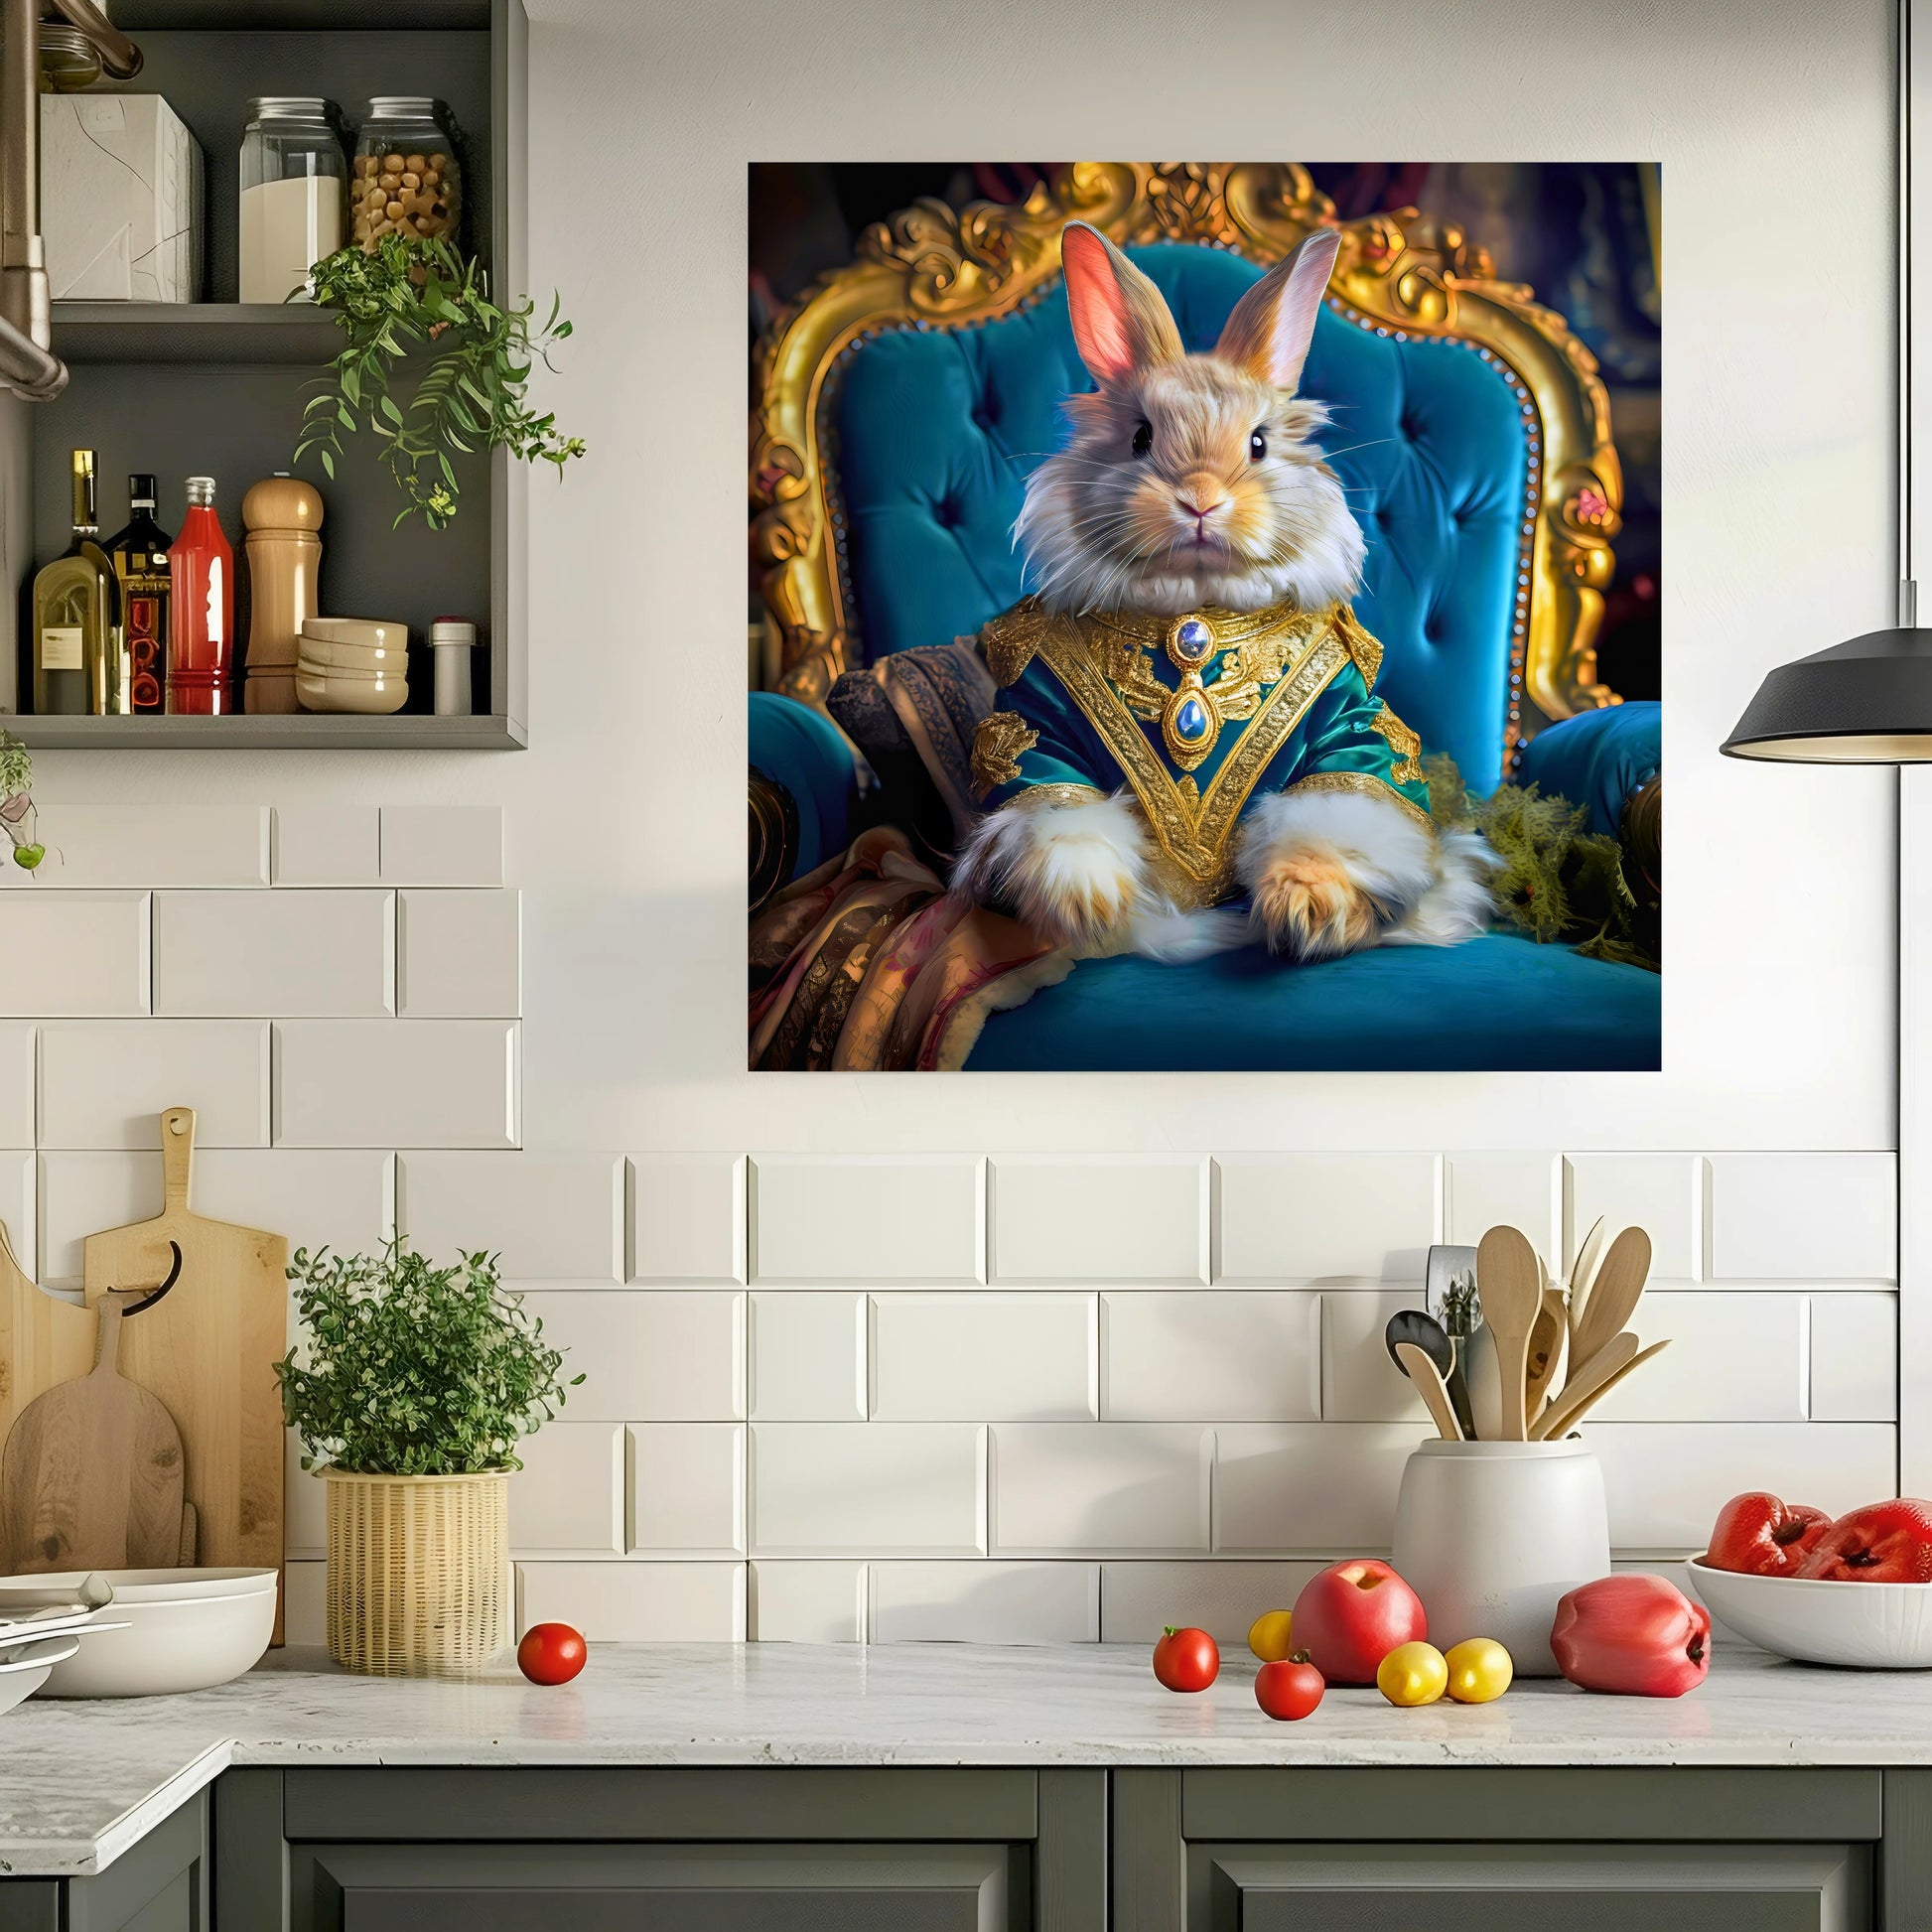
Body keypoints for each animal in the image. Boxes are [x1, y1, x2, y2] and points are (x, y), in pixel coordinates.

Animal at [953, 220, 1494, 963]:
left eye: (1259, 443)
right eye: (1140, 437)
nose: (1201, 499)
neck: (1194, 614)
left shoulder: (1350, 723)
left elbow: (1340, 813)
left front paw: (1304, 912)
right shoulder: (1034, 724)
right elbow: (1055, 809)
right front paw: (1087, 904)